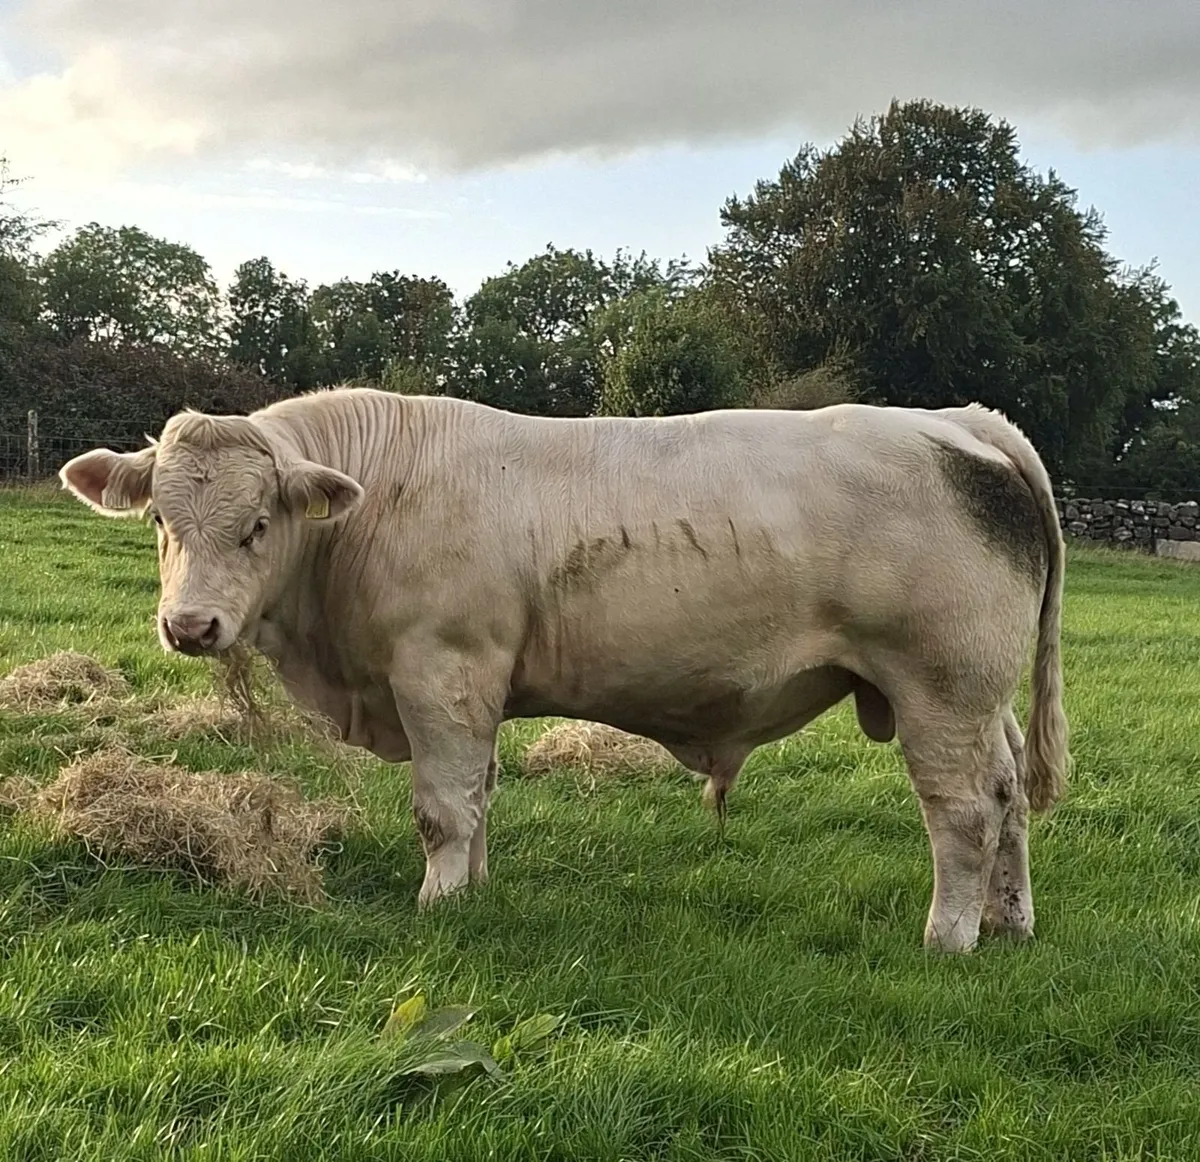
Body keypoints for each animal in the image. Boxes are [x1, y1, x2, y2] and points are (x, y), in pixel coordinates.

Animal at [59, 387, 1068, 953]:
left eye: (258, 525)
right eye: (160, 522)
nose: (190, 626)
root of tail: (958, 422)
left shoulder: (440, 670)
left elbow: (441, 805)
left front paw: (435, 902)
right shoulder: (475, 691)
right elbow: (479, 795)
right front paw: (472, 893)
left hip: (940, 687)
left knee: (965, 811)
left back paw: (950, 937)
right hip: (980, 698)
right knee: (1010, 795)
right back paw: (1011, 923)